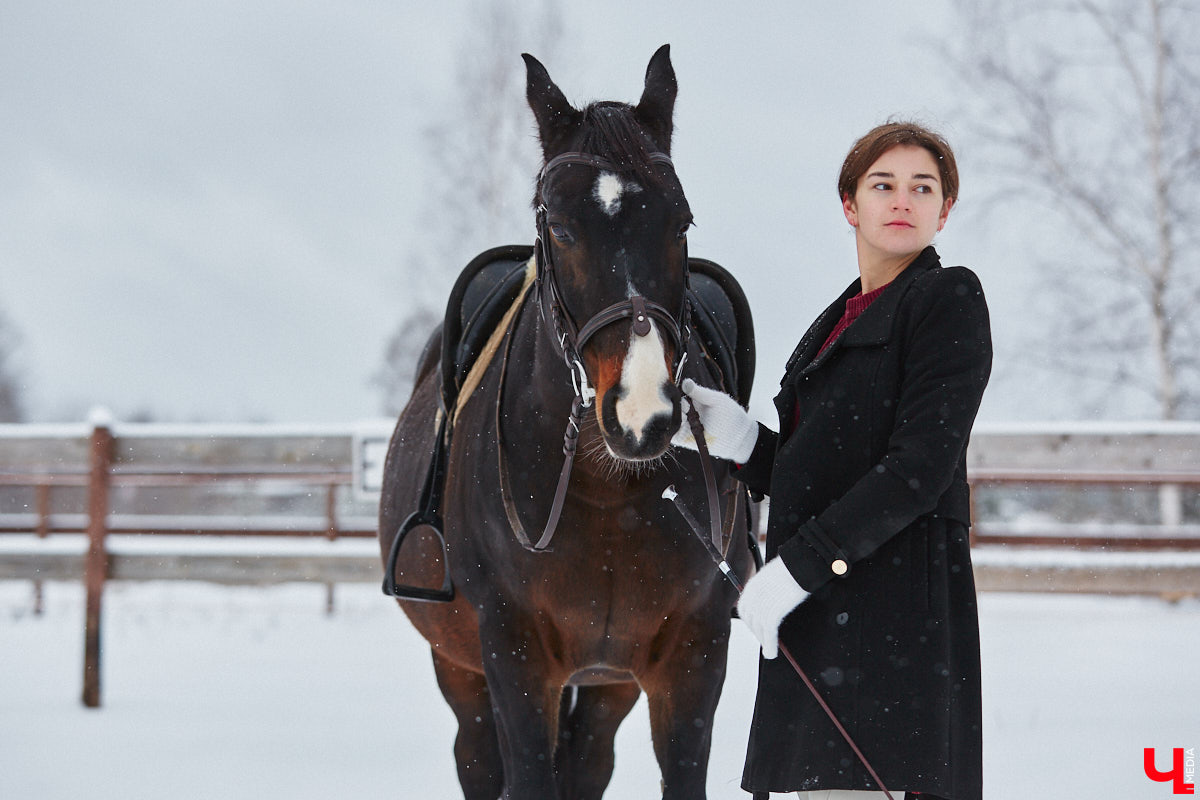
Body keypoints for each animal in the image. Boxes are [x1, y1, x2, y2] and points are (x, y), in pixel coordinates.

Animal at [376, 45, 748, 800]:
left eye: (682, 222)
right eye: (557, 223)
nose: (642, 412)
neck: (607, 494)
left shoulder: (694, 653)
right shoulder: (513, 654)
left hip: (610, 681)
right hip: (460, 669)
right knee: (478, 760)